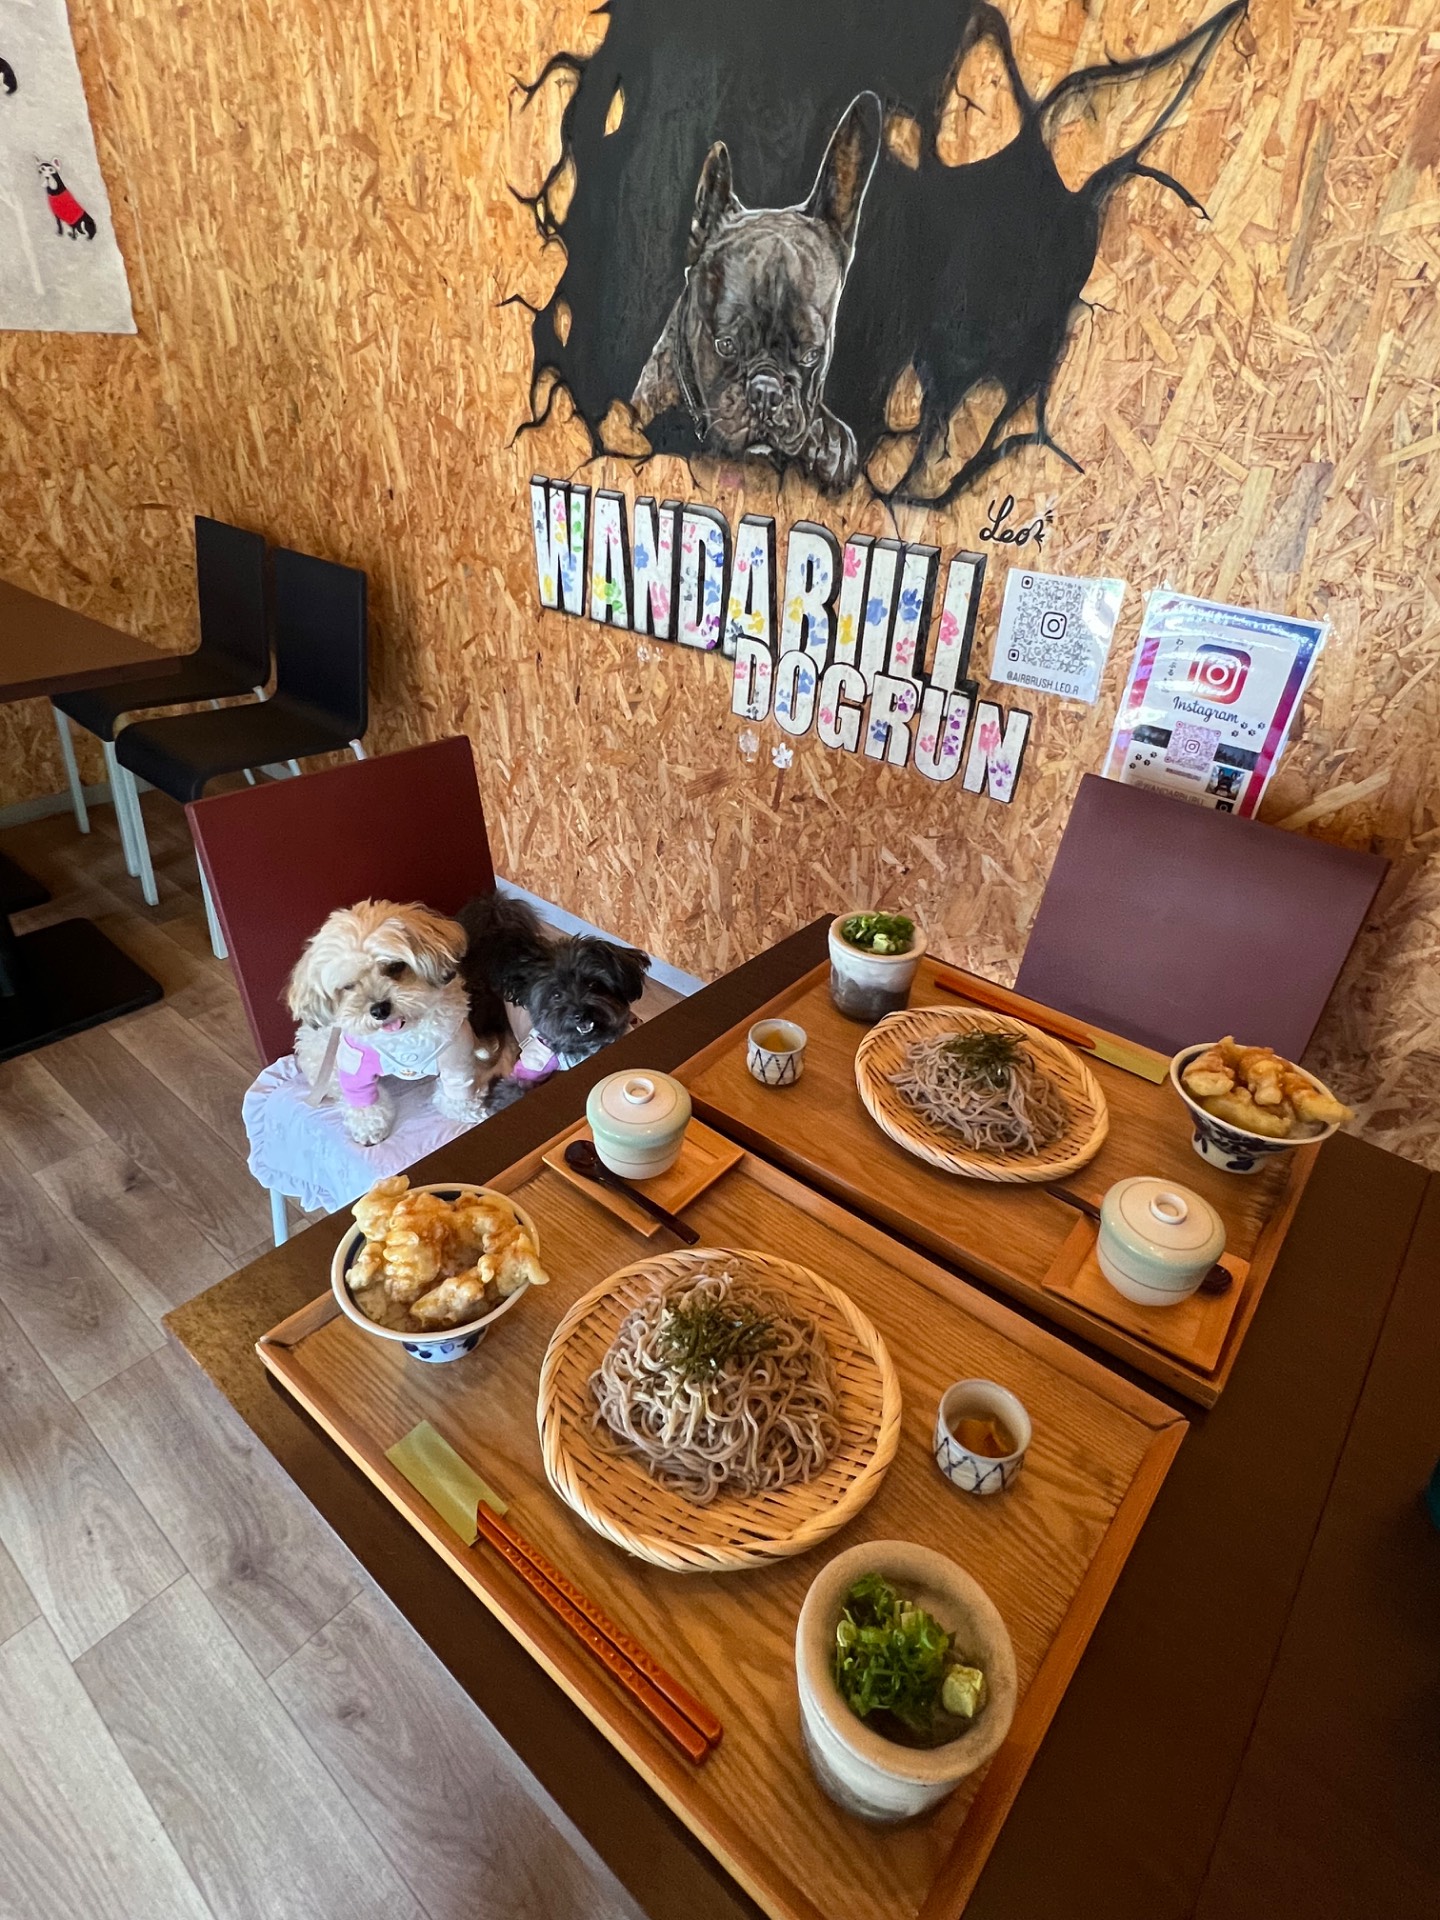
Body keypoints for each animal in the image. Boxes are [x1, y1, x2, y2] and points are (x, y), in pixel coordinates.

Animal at [287, 900, 499, 1147]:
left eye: (395, 967)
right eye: (348, 986)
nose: (379, 1009)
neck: (404, 1033)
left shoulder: (455, 1055)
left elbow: (458, 1087)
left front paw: (466, 1111)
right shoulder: (355, 1064)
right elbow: (363, 1102)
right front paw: (369, 1128)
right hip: (320, 1052)